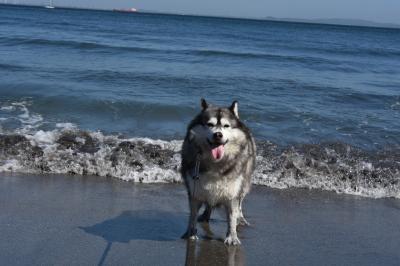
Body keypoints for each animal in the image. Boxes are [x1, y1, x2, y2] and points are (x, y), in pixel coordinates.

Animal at [180, 98, 256, 245]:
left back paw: (241, 218)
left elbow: (232, 215)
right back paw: (205, 215)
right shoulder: (195, 189)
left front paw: (232, 236)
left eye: (226, 126)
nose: (218, 134)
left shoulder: (233, 191)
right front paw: (190, 233)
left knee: (240, 203)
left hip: (244, 182)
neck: (215, 163)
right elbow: (192, 215)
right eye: (210, 124)